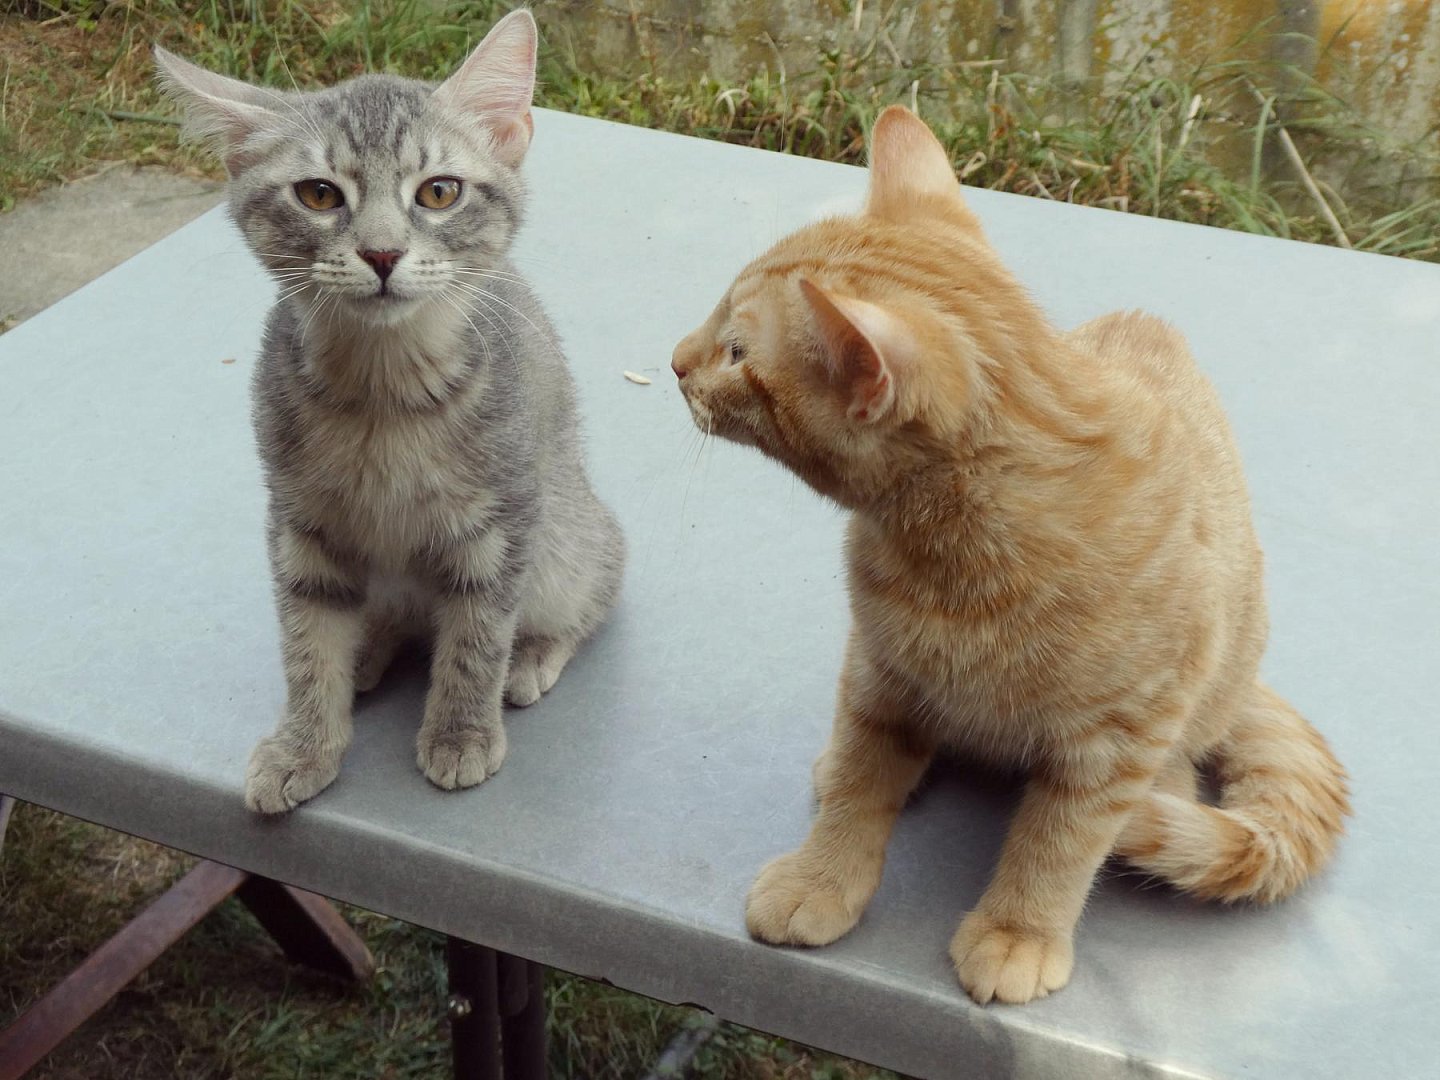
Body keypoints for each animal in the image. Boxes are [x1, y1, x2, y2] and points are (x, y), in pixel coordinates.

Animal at [154, 12, 622, 817]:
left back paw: (531, 655)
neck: (381, 394)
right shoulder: (299, 522)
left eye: (438, 192)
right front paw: (305, 741)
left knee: (590, 590)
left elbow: (477, 635)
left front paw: (462, 731)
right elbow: (306, 639)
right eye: (318, 194)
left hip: (568, 537)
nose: (380, 253)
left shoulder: (504, 520)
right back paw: (370, 648)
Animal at [671, 108, 1347, 1008]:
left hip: (1198, 693)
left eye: (738, 352)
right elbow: (859, 782)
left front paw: (1020, 930)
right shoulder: (879, 675)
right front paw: (823, 875)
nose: (675, 361)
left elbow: (1059, 843)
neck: (954, 560)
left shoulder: (1119, 738)